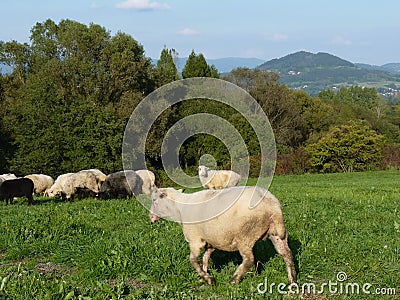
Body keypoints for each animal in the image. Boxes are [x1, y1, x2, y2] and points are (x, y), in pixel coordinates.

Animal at [148, 185, 296, 286]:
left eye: (154, 200)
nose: (150, 218)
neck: (179, 209)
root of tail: (273, 206)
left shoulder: (195, 240)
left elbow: (193, 260)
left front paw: (208, 279)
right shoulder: (210, 241)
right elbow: (205, 259)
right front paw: (204, 276)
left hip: (245, 235)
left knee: (249, 260)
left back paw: (234, 280)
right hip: (276, 232)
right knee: (286, 254)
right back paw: (292, 281)